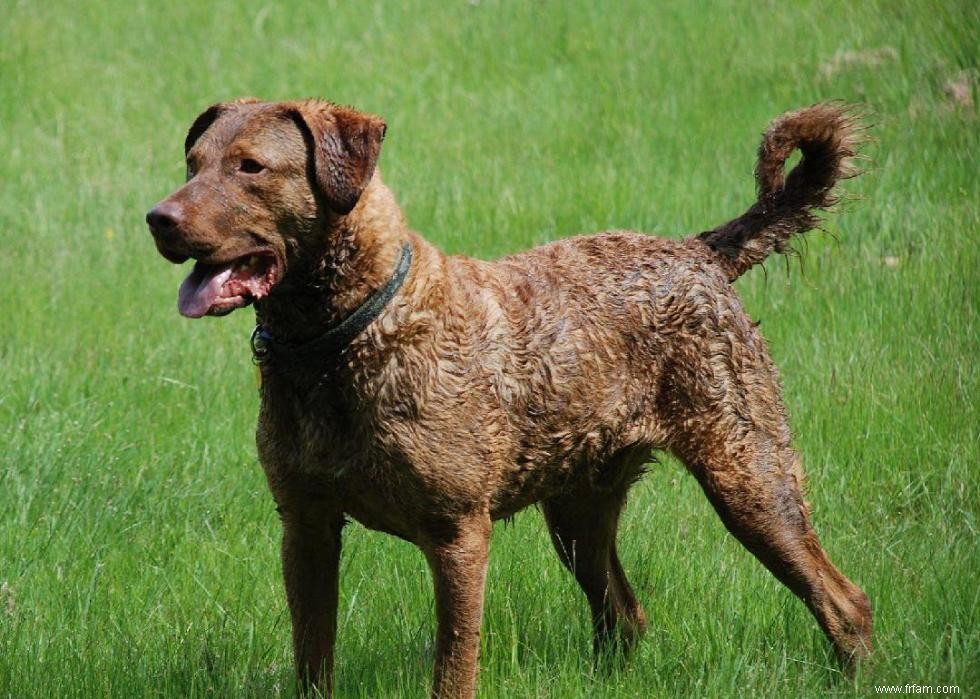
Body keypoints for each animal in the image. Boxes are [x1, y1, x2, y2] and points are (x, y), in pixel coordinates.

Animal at [147, 100, 872, 699]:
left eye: (250, 167)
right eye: (193, 162)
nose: (157, 219)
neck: (341, 342)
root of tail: (700, 253)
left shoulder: (458, 533)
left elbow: (453, 666)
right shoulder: (305, 525)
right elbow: (312, 657)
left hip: (749, 474)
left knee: (845, 602)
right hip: (578, 508)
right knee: (624, 614)